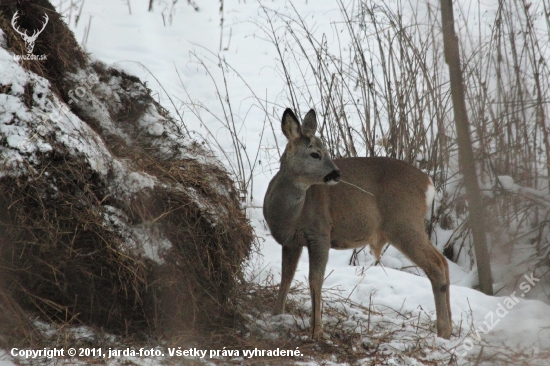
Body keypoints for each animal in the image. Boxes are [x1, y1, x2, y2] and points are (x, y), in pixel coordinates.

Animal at [266, 108, 452, 340]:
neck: (290, 214)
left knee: (436, 264)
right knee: (443, 261)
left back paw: (444, 331)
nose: (337, 173)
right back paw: (450, 328)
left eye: (326, 151)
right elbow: (287, 276)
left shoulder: (320, 232)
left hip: (403, 222)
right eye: (315, 154)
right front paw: (276, 314)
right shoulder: (291, 242)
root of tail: (429, 183)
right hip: (408, 225)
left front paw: (317, 330)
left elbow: (315, 279)